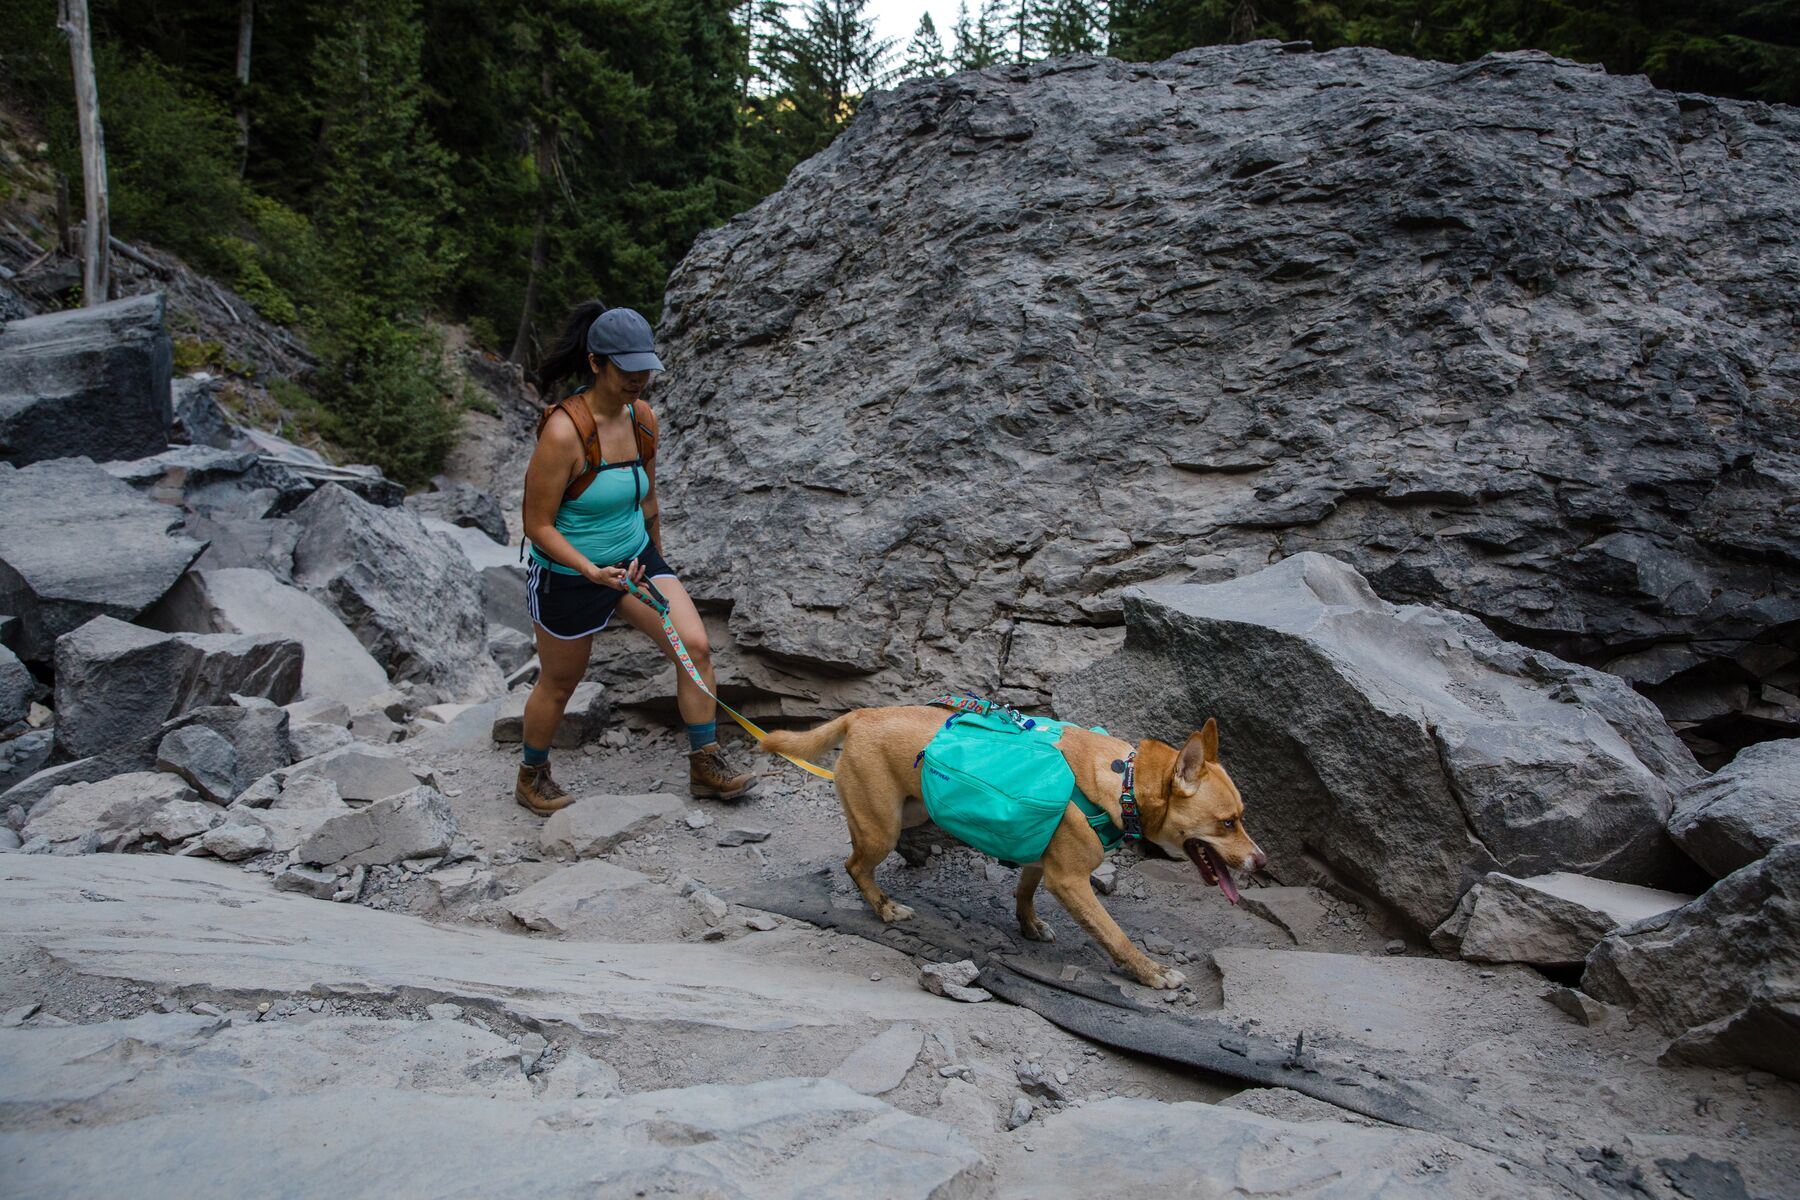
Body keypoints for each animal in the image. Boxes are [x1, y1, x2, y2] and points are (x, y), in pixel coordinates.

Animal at [759, 708, 1267, 993]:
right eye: (1228, 822)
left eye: (1242, 816)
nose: (1261, 861)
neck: (1122, 780)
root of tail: (861, 713)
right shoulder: (1071, 881)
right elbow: (1114, 934)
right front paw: (1151, 972)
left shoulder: (1040, 858)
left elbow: (1024, 892)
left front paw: (1029, 925)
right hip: (880, 826)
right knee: (855, 864)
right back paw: (883, 907)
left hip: (910, 811)